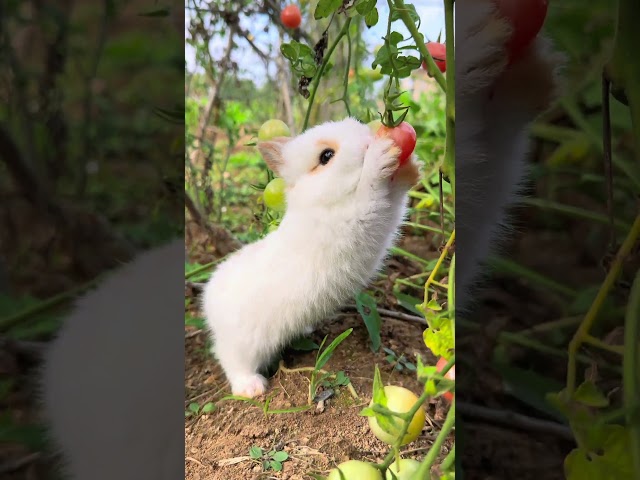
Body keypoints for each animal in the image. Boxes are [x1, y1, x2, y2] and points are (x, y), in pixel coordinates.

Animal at [200, 117, 420, 398]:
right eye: (326, 156)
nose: (369, 139)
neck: (318, 199)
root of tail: (208, 299)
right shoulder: (356, 218)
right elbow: (369, 191)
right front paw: (379, 158)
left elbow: (395, 197)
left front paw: (410, 166)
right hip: (243, 344)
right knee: (230, 359)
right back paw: (251, 387)